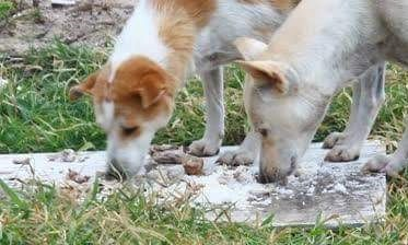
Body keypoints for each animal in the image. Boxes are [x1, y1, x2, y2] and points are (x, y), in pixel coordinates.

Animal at [69, 0, 382, 177]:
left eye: (131, 129)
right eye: (104, 129)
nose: (113, 174)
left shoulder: (266, 54)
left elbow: (259, 116)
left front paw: (246, 152)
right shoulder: (208, 58)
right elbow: (214, 105)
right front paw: (211, 143)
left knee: (371, 95)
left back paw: (352, 146)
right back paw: (345, 138)